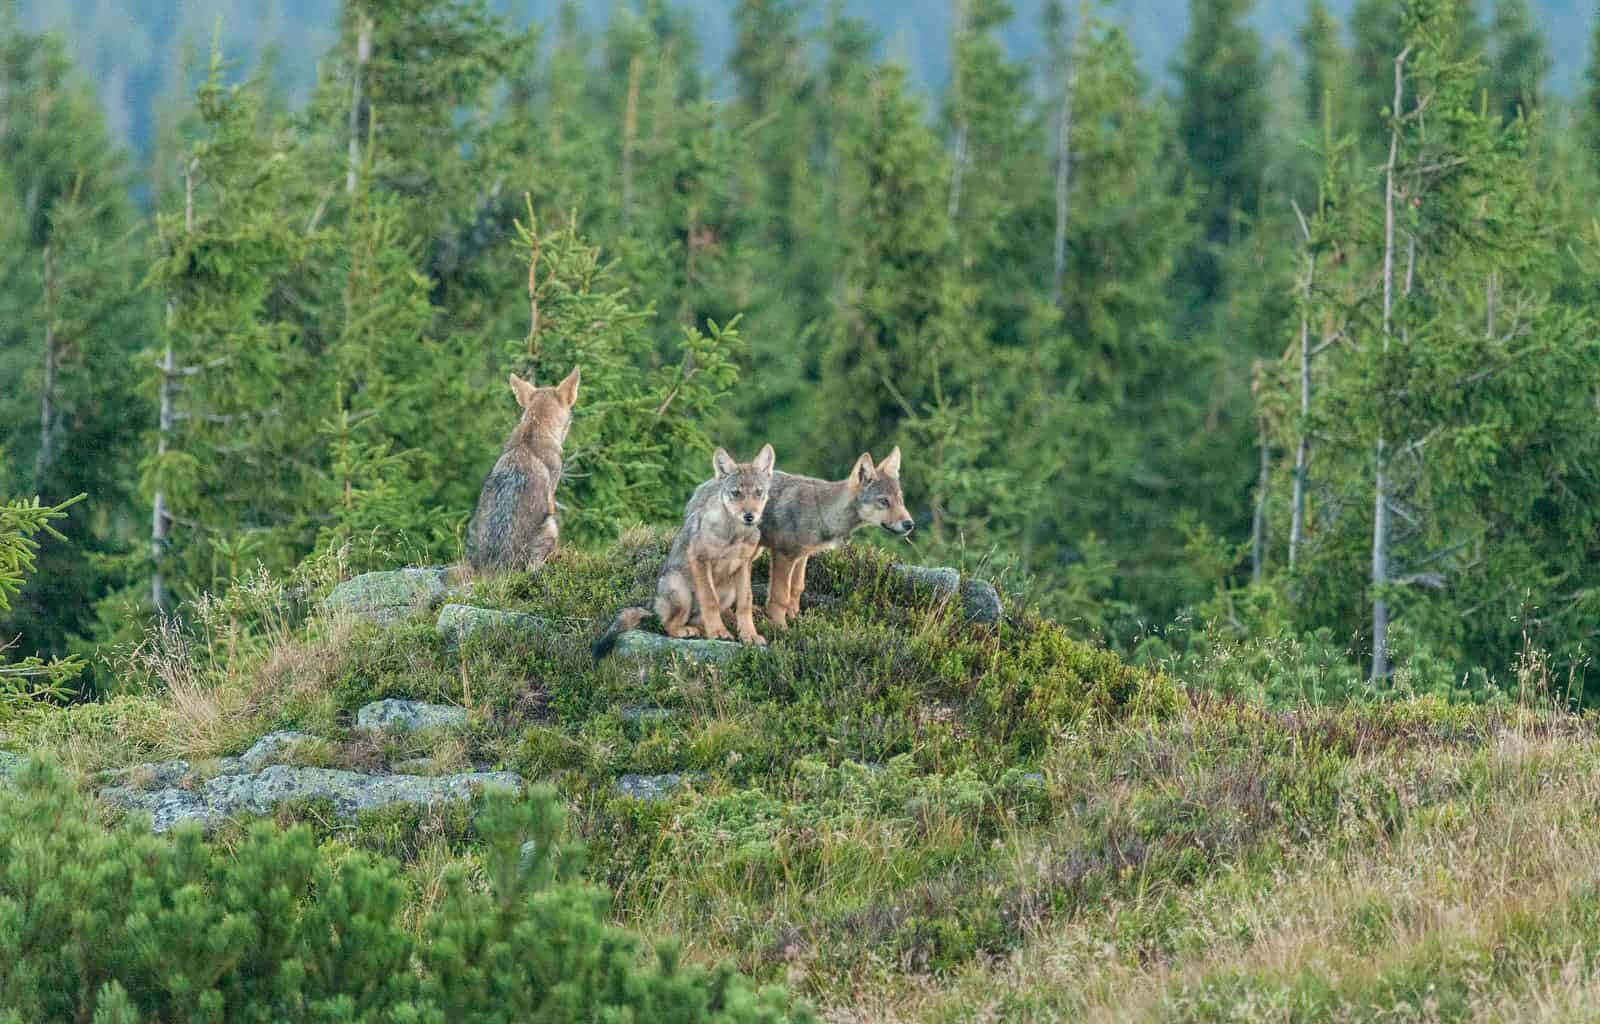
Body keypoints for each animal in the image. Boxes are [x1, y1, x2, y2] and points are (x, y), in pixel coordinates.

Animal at [598, 444, 777, 656]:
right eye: (736, 493)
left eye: (758, 492)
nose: (749, 516)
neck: (735, 535)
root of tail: (652, 604)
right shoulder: (699, 558)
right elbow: (710, 600)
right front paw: (718, 633)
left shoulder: (744, 565)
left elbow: (745, 603)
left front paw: (749, 635)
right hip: (681, 592)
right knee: (668, 624)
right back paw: (692, 631)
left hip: (728, 591)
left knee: (703, 618)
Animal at [761, 451, 915, 633]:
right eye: (884, 501)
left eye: (900, 499)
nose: (910, 524)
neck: (821, 511)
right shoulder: (783, 555)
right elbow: (780, 597)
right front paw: (780, 629)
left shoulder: (801, 557)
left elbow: (797, 589)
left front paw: (796, 620)